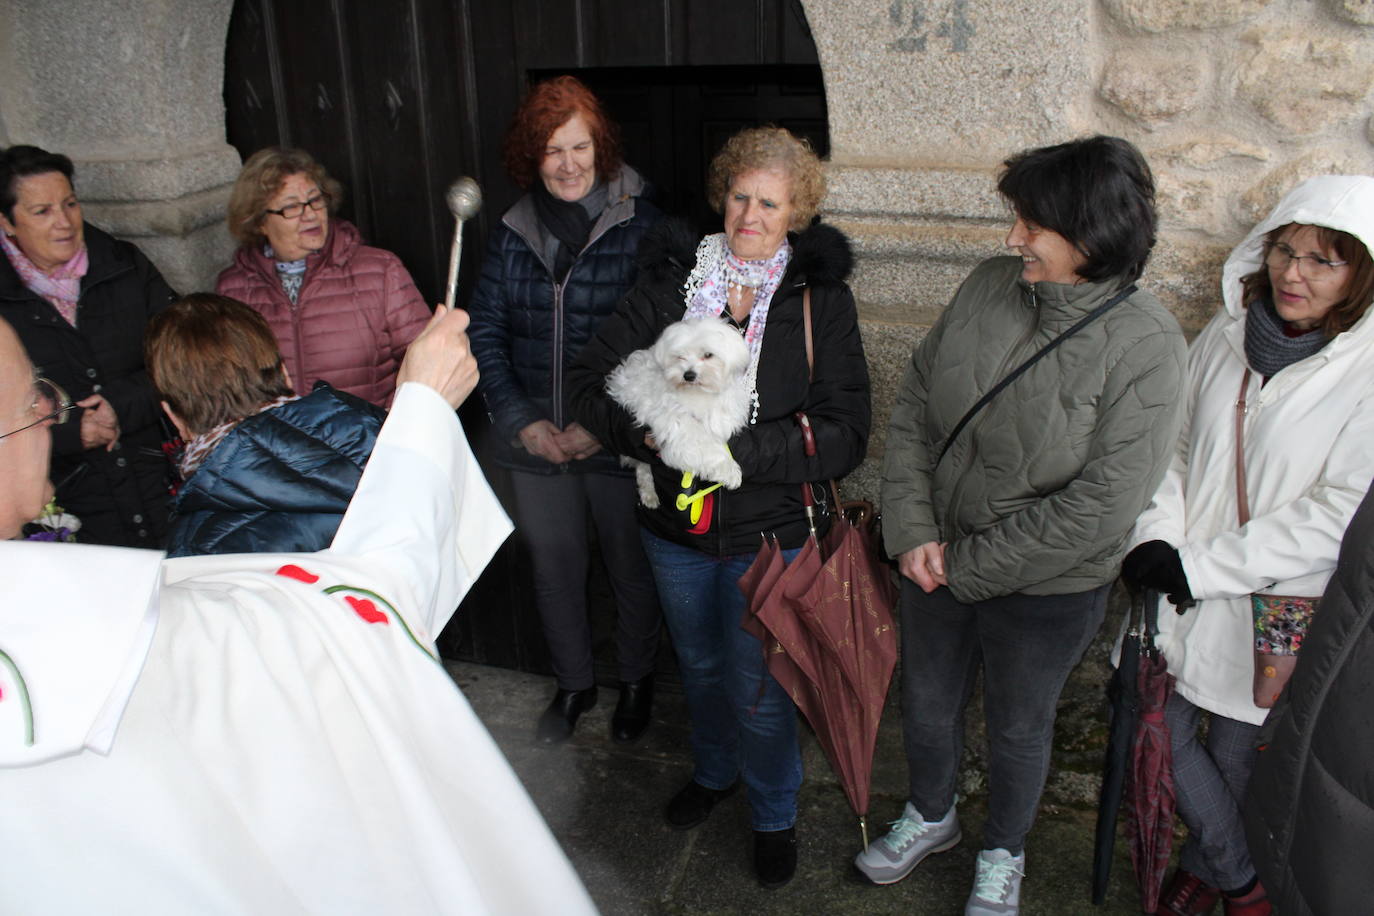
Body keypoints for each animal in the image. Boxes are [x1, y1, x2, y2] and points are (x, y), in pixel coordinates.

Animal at [607, 321, 747, 508]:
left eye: (708, 355)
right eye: (679, 356)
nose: (688, 375)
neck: (699, 393)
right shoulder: (679, 428)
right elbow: (706, 447)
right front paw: (729, 470)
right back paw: (649, 493)